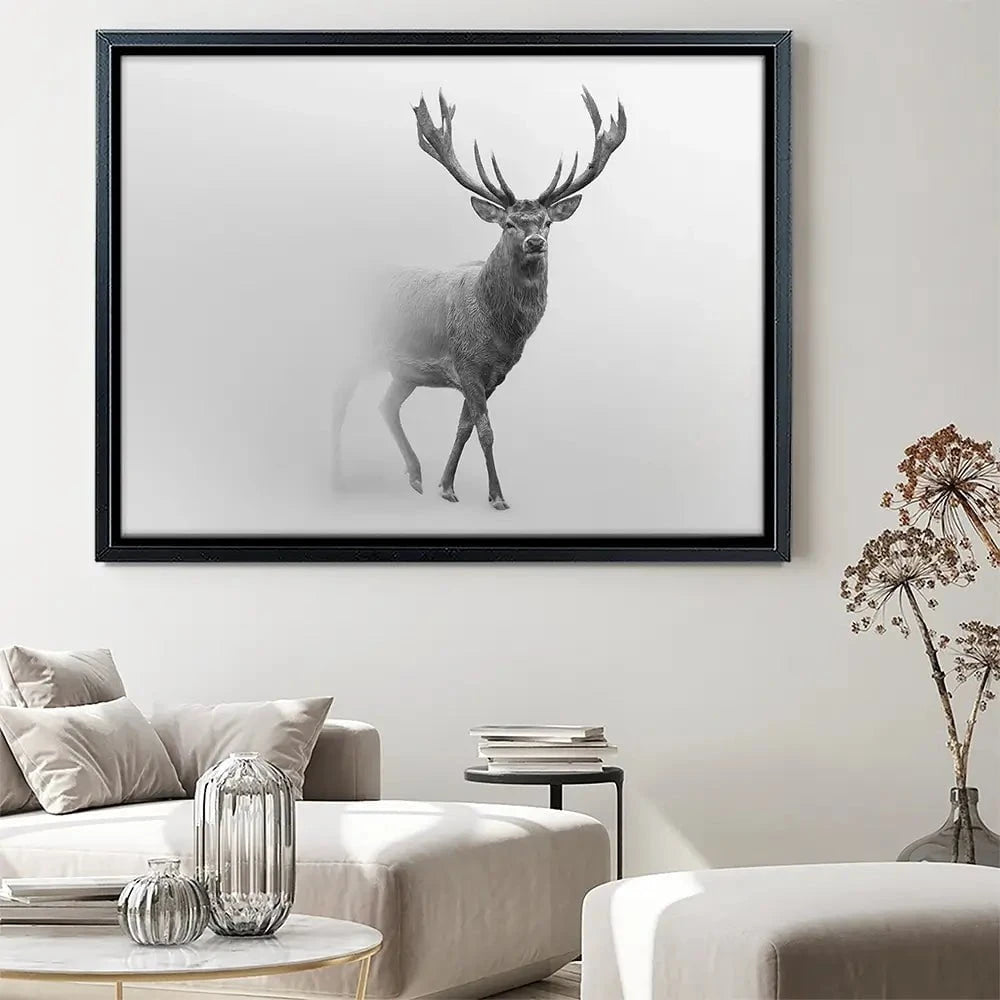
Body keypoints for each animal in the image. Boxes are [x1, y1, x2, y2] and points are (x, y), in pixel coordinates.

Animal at [333, 87, 627, 510]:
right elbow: (485, 430)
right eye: (508, 223)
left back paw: (416, 476)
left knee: (386, 405)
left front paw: (446, 486)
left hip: (404, 371)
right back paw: (339, 477)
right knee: (339, 401)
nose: (535, 242)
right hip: (355, 348)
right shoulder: (466, 362)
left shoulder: (493, 375)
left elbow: (465, 427)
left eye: (547, 222)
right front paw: (497, 496)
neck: (501, 330)